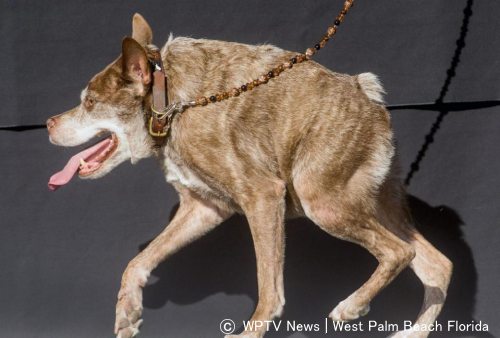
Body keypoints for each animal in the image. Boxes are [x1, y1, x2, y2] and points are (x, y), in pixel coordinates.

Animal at [47, 13, 454, 338]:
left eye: (89, 103)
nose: (49, 123)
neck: (169, 103)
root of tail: (372, 100)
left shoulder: (263, 196)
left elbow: (269, 292)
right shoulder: (204, 208)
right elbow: (137, 263)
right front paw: (127, 314)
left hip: (324, 203)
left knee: (400, 252)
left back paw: (352, 306)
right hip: (374, 205)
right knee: (438, 266)